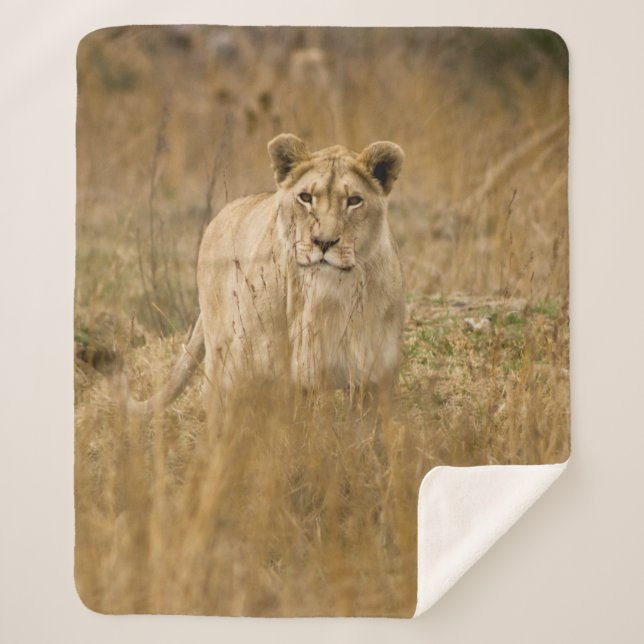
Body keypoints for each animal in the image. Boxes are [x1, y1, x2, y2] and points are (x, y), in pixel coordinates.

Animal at [130, 134, 405, 421]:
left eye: (354, 200)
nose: (323, 242)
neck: (327, 298)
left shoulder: (374, 377)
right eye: (305, 197)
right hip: (221, 354)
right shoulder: (263, 369)